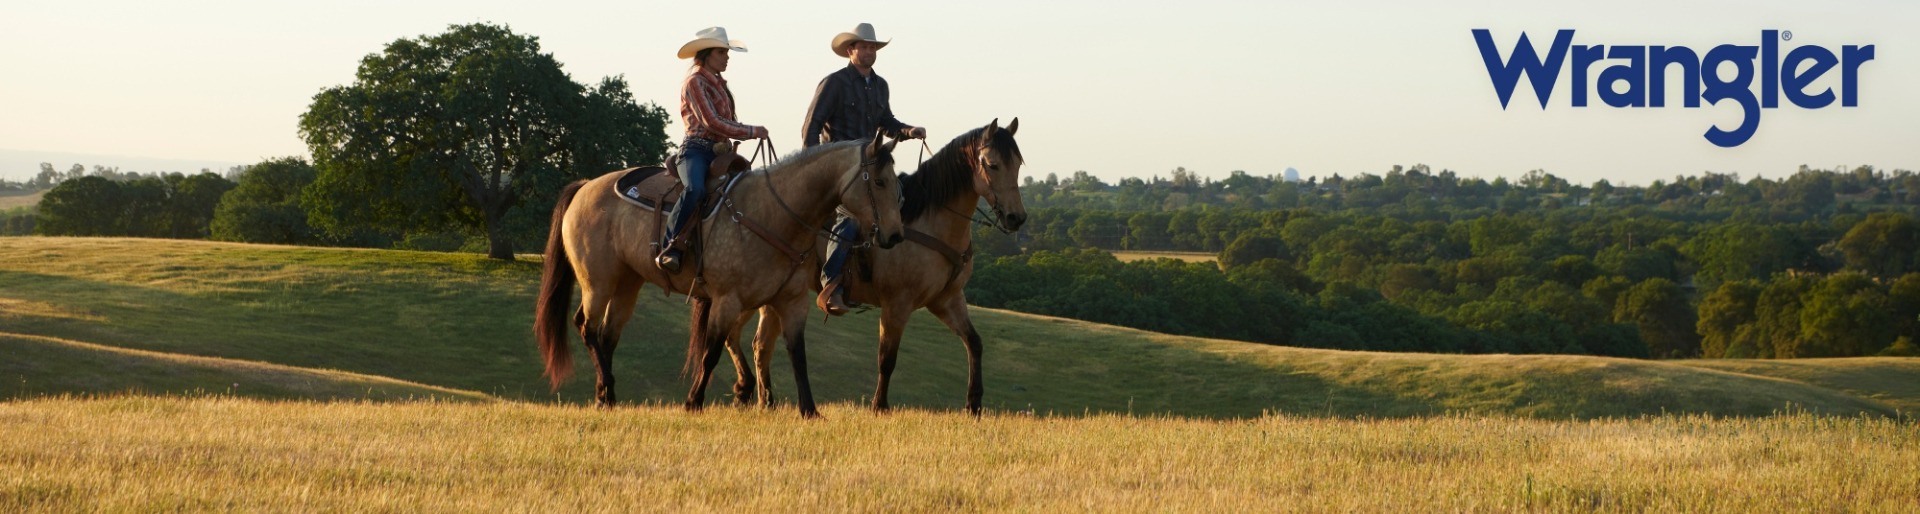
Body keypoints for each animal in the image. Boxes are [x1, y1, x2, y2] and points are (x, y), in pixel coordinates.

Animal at [534, 134, 905, 418]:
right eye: (880, 181)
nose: (895, 235)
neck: (773, 214)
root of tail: (585, 187)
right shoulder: (728, 300)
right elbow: (711, 351)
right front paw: (693, 402)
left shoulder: (792, 302)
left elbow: (797, 355)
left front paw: (810, 410)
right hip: (597, 282)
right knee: (587, 327)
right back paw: (607, 389)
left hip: (627, 284)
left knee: (608, 335)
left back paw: (606, 395)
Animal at [729, 118, 1026, 415]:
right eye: (992, 164)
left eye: (1018, 164)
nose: (1016, 218)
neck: (929, 221)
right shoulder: (897, 303)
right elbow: (887, 357)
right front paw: (879, 406)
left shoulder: (947, 300)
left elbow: (974, 343)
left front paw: (973, 404)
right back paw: (748, 390)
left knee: (759, 344)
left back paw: (764, 400)